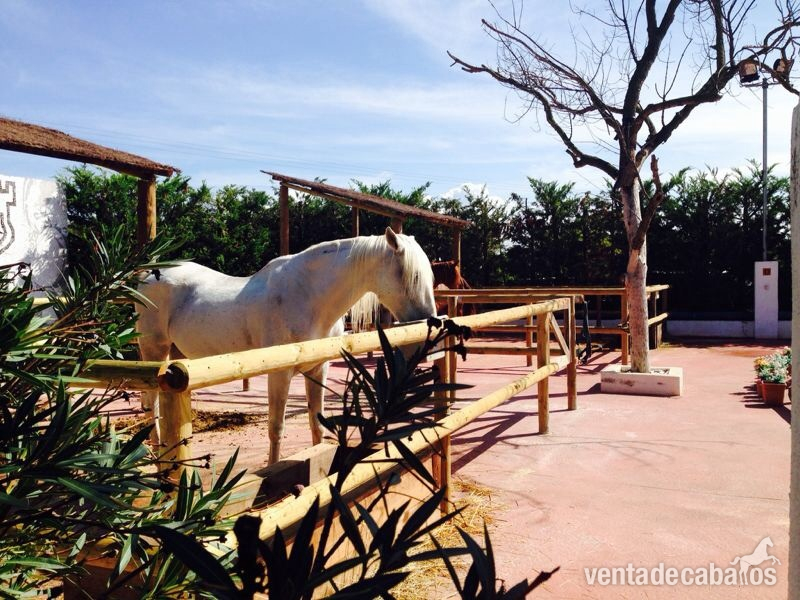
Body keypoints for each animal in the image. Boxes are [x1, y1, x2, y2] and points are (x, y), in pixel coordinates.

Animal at [136, 227, 437, 464]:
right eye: (410, 276)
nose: (431, 325)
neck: (307, 297)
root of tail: (147, 276)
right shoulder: (279, 375)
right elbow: (276, 428)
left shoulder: (318, 370)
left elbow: (317, 423)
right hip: (155, 352)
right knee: (152, 403)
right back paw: (156, 453)